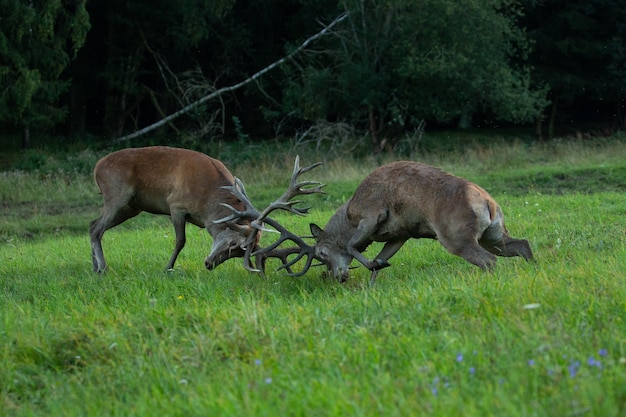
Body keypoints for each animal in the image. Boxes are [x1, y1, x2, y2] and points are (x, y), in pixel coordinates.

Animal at [89, 146, 260, 272]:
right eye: (233, 243)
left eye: (241, 253)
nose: (209, 264)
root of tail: (97, 167)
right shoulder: (176, 205)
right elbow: (180, 240)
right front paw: (167, 268)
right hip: (116, 195)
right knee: (97, 229)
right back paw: (103, 268)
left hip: (132, 207)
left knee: (92, 225)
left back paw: (95, 267)